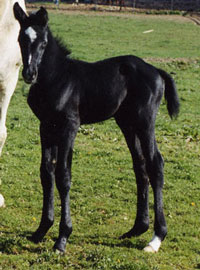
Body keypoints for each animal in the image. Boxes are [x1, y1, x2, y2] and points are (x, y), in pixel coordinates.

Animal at [14, 3, 180, 253]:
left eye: (43, 42)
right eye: (21, 40)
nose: (29, 74)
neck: (57, 78)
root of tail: (156, 71)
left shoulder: (69, 127)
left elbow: (63, 175)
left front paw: (62, 238)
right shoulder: (46, 126)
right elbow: (46, 173)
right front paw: (41, 230)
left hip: (145, 121)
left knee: (155, 164)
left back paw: (156, 238)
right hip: (127, 124)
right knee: (140, 166)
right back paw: (136, 229)